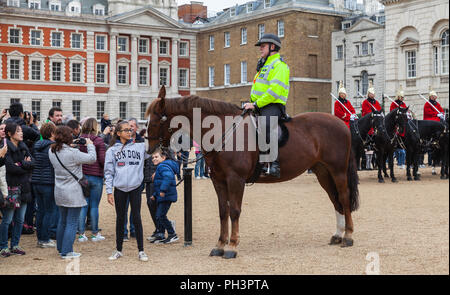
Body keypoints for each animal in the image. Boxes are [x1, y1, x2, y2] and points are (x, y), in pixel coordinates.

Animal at [146, 86, 360, 260]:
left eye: (156, 120)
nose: (151, 150)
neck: (224, 130)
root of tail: (340, 123)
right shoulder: (218, 180)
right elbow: (223, 211)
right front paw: (220, 245)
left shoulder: (236, 180)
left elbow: (234, 211)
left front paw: (232, 246)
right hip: (323, 172)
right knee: (335, 200)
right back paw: (338, 234)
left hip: (338, 171)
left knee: (344, 197)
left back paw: (349, 235)